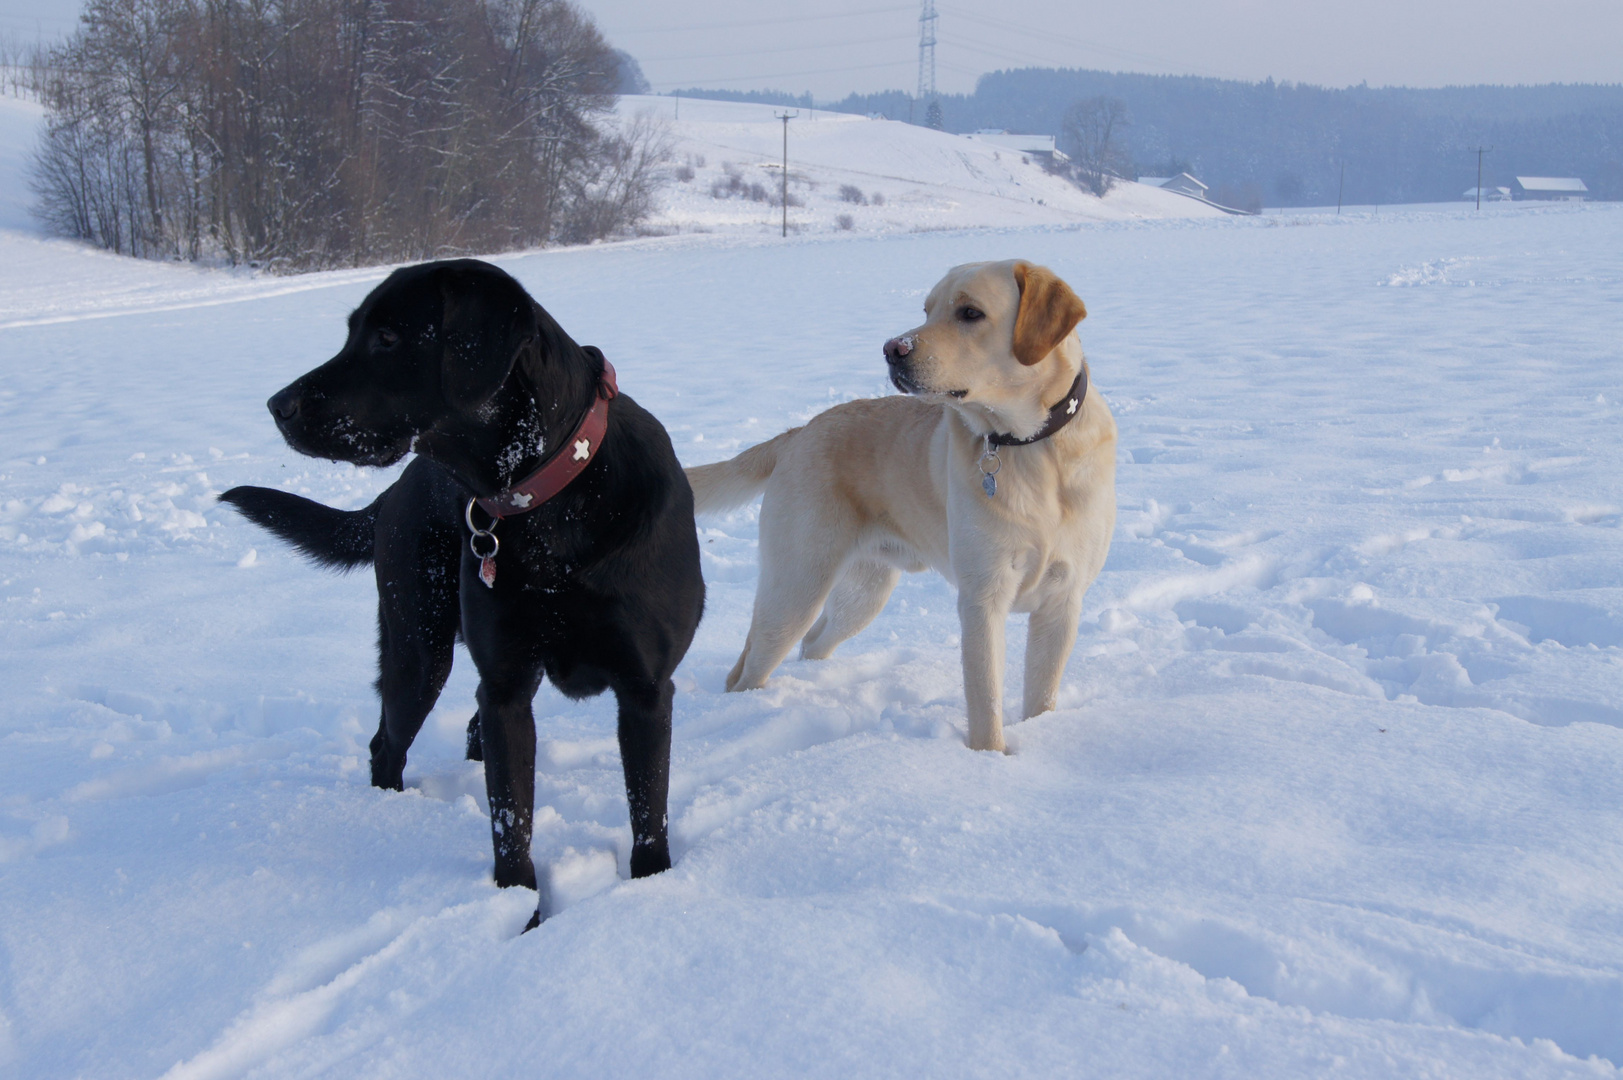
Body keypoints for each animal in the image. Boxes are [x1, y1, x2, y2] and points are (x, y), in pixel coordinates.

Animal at [219, 254, 701, 915]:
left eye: (388, 337)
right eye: (352, 331)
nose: (277, 405)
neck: (550, 502)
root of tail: (394, 492)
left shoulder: (646, 690)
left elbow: (648, 814)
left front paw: (651, 888)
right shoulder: (505, 688)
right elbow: (511, 821)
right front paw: (518, 910)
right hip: (417, 651)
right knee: (386, 744)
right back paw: (388, 816)